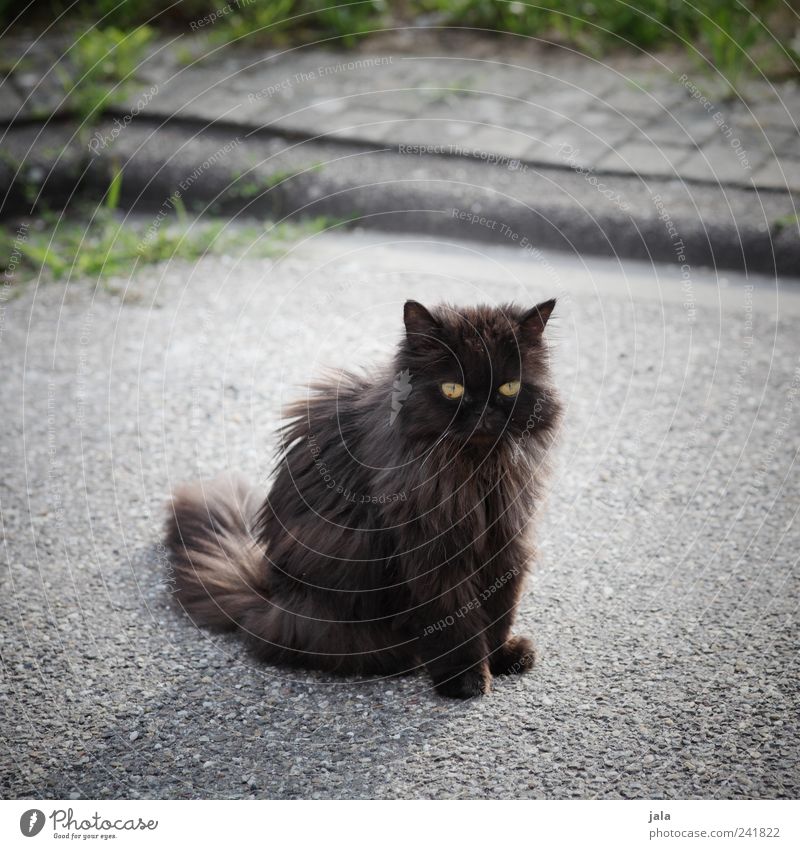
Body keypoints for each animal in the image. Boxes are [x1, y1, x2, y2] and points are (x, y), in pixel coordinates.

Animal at [165, 298, 560, 696]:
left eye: (509, 387)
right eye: (452, 388)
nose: (484, 413)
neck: (475, 469)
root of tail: (267, 600)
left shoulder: (506, 537)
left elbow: (500, 607)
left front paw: (502, 657)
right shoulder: (433, 550)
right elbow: (455, 618)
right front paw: (466, 678)